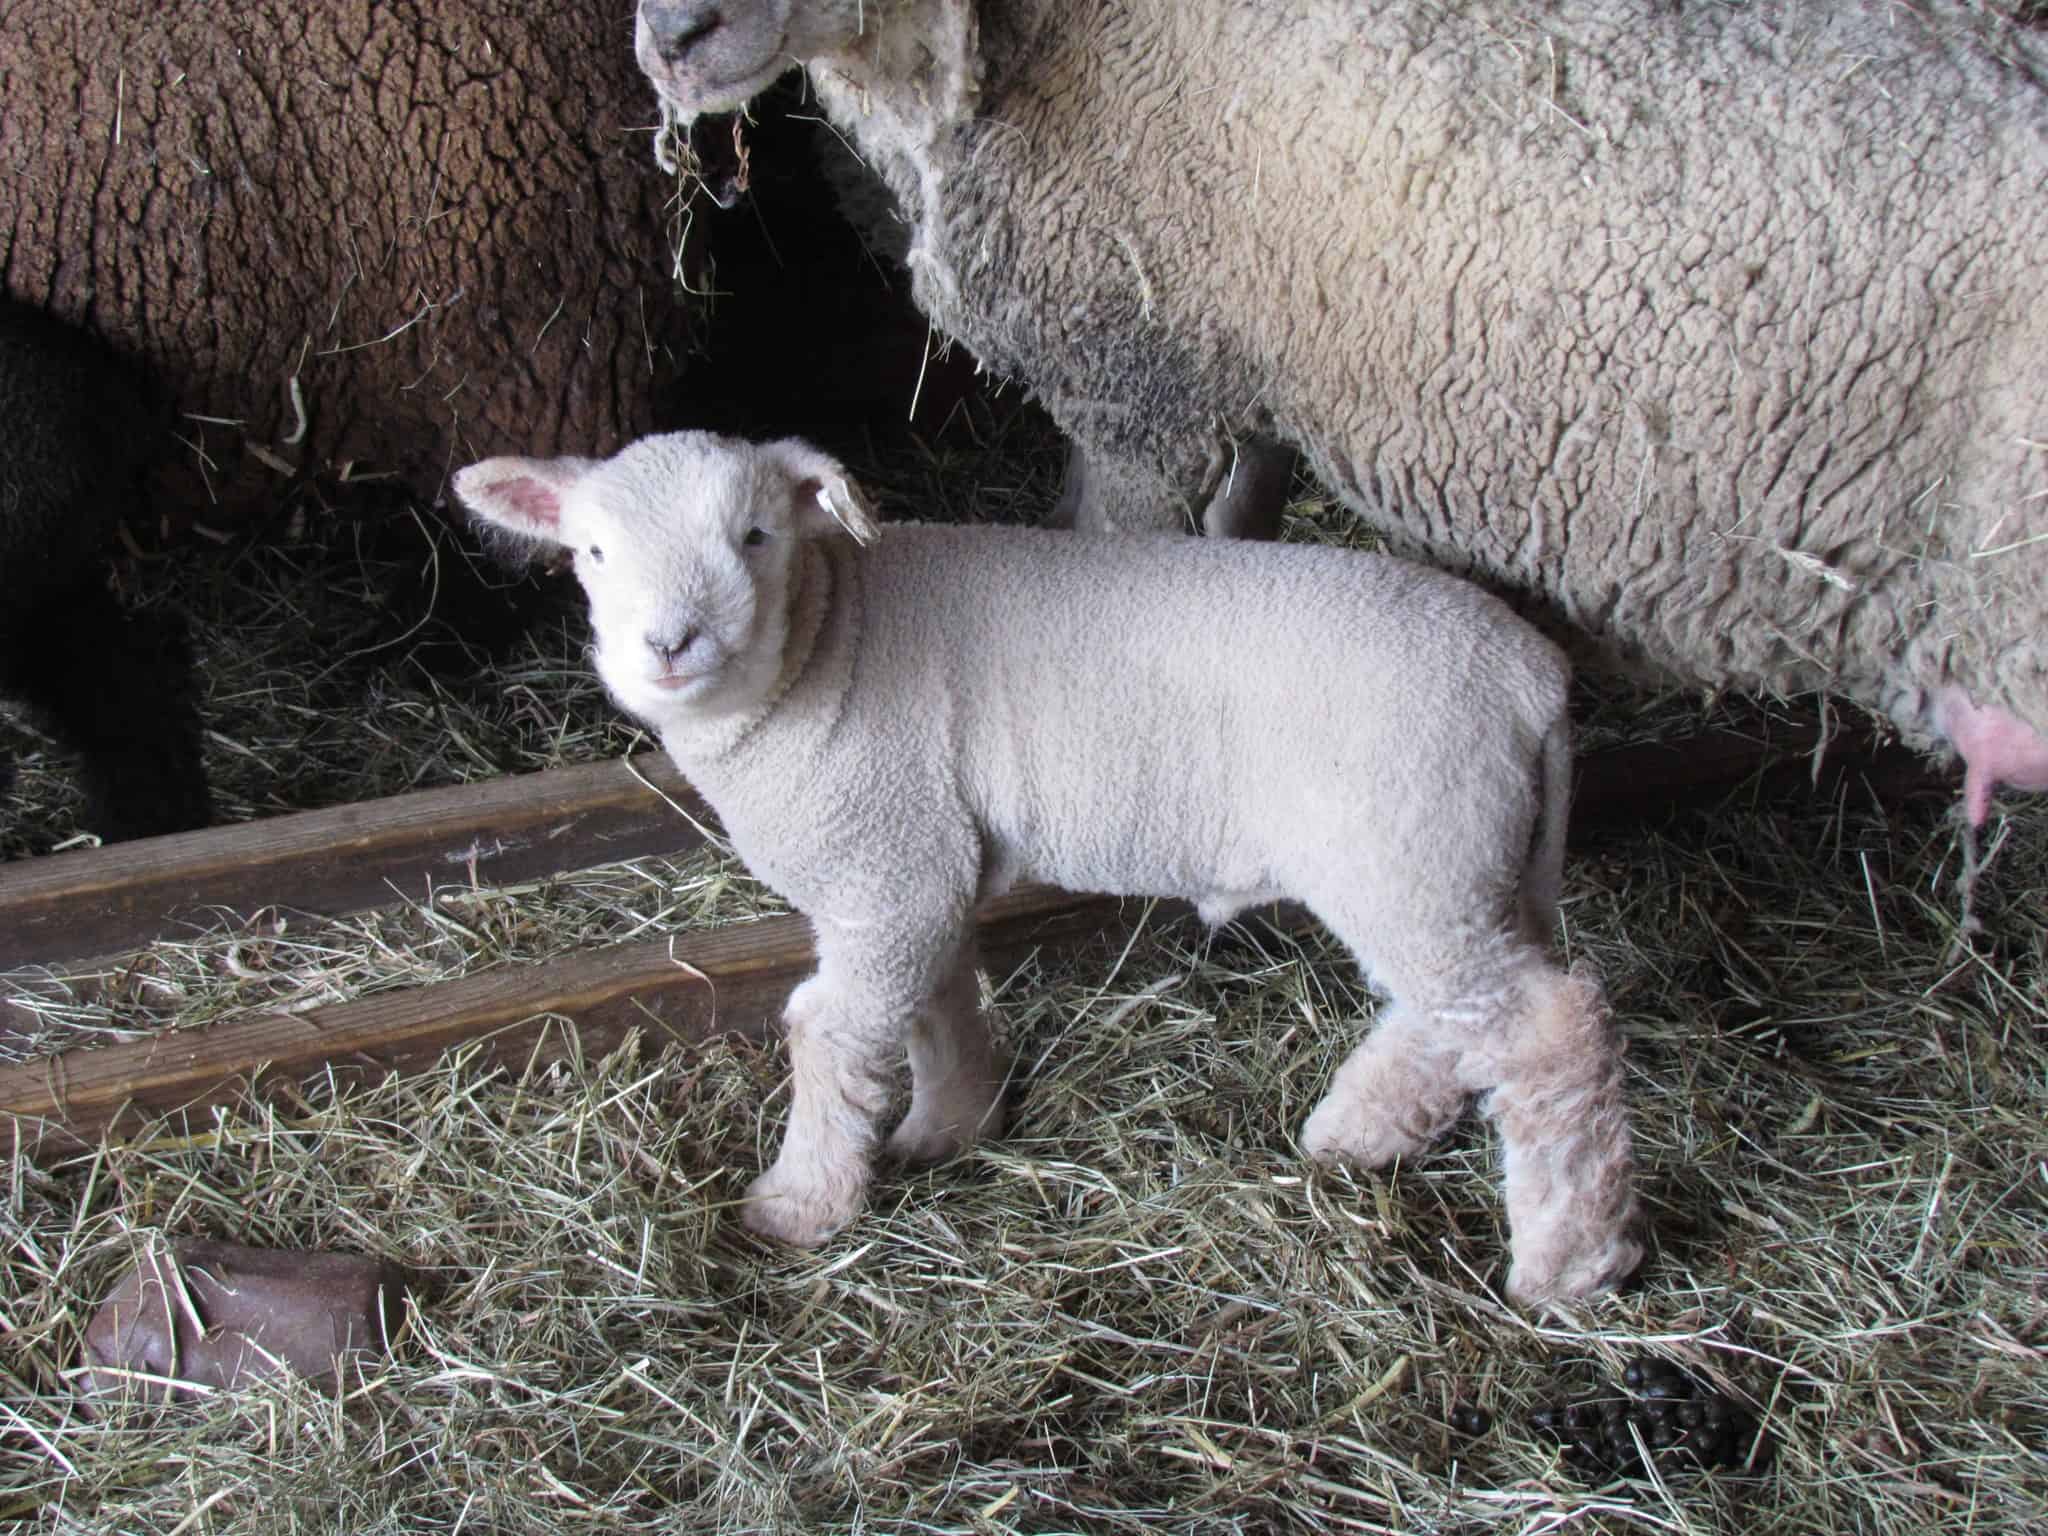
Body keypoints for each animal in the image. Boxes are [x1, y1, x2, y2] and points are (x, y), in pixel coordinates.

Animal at [454, 428, 1645, 1304]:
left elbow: (830, 1033)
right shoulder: (916, 854)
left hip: (1411, 848)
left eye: (754, 535)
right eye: (592, 552)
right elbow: (934, 1002)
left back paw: (1568, 1263)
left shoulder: (881, 865)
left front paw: (798, 1204)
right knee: (1454, 1019)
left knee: (1547, 1028)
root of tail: (1533, 678)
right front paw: (951, 1125)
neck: (821, 650)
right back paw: (1356, 1134)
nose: (668, 644)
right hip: (1448, 860)